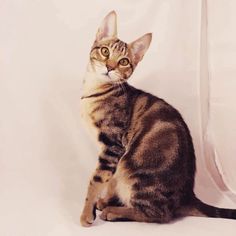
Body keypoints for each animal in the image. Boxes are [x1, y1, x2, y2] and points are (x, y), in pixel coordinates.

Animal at [79, 10, 236, 227]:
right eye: (105, 51)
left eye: (124, 61)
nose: (109, 67)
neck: (95, 91)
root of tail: (187, 196)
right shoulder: (113, 153)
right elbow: (111, 179)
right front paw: (105, 200)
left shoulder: (112, 146)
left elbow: (97, 180)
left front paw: (87, 214)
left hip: (138, 173)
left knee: (159, 215)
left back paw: (115, 212)